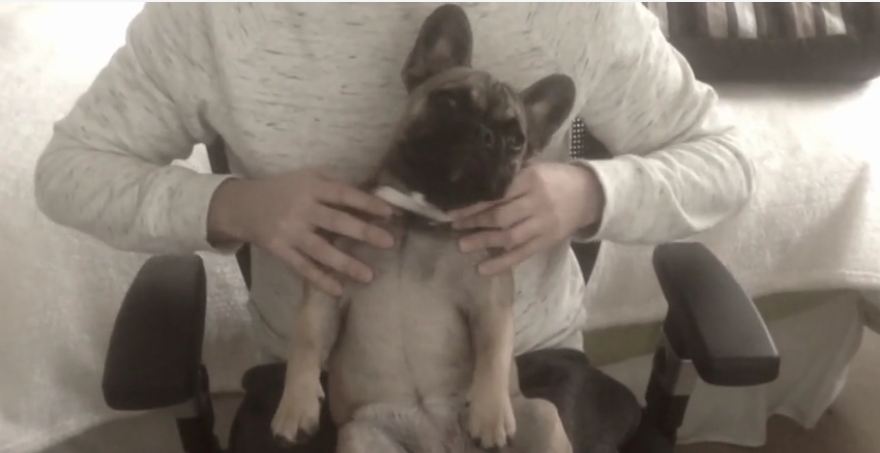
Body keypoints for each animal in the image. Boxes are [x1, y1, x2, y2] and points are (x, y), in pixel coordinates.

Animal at [274, 4, 576, 452]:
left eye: (517, 140)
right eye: (449, 101)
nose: (486, 135)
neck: (423, 215)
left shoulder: (490, 300)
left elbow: (495, 350)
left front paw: (489, 413)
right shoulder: (327, 288)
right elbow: (307, 339)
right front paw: (295, 406)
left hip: (543, 414)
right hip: (361, 436)